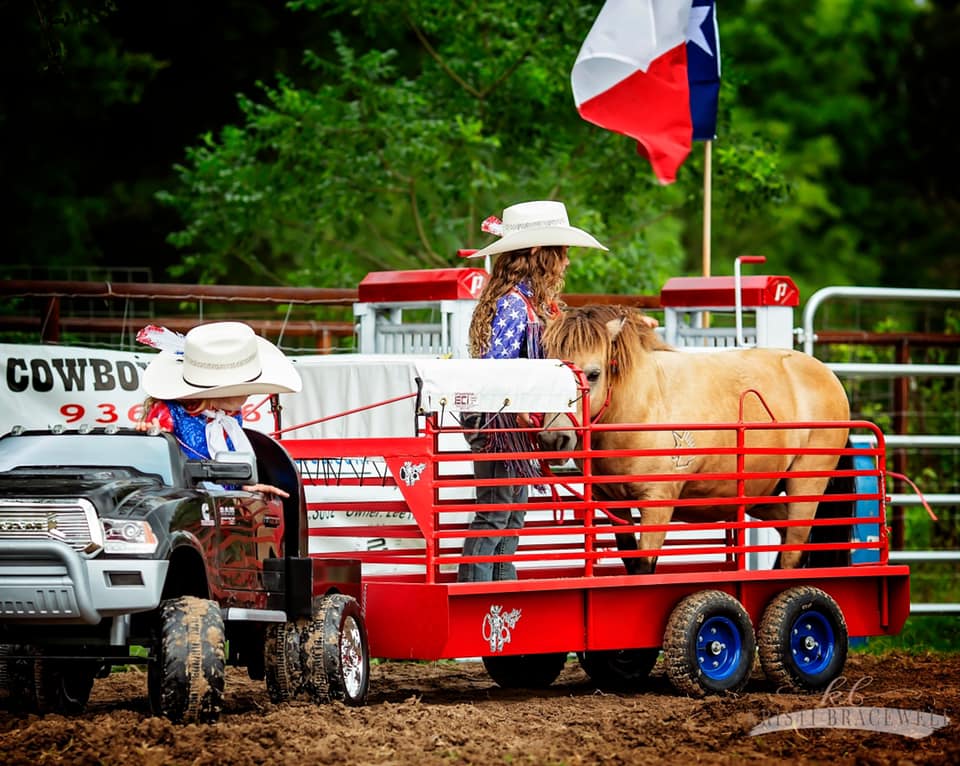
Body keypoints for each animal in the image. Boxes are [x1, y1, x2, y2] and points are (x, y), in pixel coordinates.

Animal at [540, 306, 848, 576]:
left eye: (593, 374)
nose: (554, 438)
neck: (642, 405)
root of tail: (828, 375)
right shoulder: (614, 504)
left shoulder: (658, 504)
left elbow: (643, 567)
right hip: (763, 494)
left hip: (805, 485)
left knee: (793, 552)